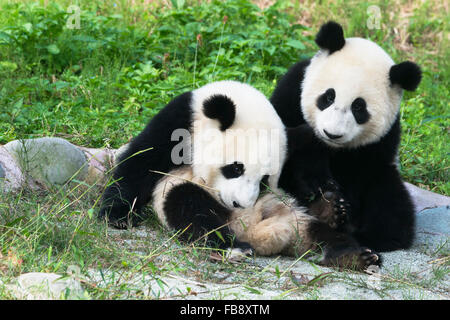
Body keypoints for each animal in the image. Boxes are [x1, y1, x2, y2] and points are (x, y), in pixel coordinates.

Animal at [97, 79, 380, 268]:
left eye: (265, 180)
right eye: (235, 168)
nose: (239, 203)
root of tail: (257, 232)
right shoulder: (182, 120)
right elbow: (142, 162)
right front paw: (117, 216)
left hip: (290, 213)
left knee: (321, 231)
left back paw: (350, 246)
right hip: (180, 191)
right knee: (190, 207)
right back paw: (233, 247)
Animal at [268, 21, 422, 254]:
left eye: (359, 108)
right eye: (328, 96)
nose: (331, 133)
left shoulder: (384, 137)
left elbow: (366, 172)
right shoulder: (292, 90)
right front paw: (318, 184)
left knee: (392, 202)